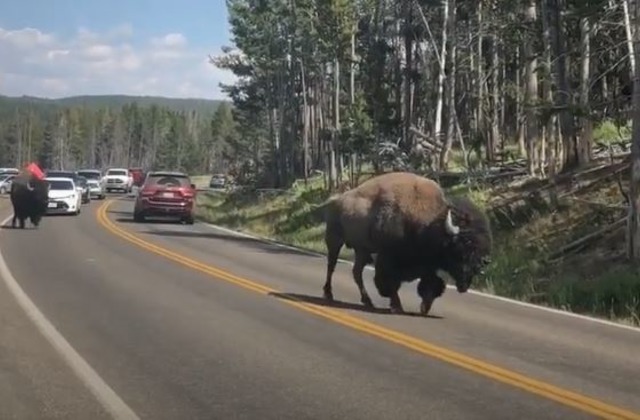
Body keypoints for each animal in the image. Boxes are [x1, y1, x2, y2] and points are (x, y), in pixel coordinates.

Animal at [320, 171, 496, 316]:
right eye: (465, 244)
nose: (481, 266)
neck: (431, 222)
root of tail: (336, 199)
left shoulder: (427, 265)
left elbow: (432, 285)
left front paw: (424, 307)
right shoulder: (388, 259)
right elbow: (389, 283)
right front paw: (397, 306)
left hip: (361, 250)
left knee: (356, 272)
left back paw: (368, 301)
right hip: (334, 241)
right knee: (331, 266)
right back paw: (329, 294)